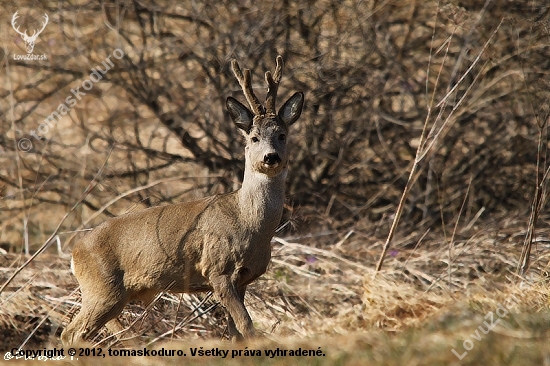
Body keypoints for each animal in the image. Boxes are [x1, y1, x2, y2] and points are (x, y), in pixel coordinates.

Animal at [62, 55, 304, 346]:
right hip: (102, 289)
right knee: (71, 333)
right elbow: (246, 325)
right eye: (253, 137)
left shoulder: (243, 279)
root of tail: (74, 253)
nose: (271, 157)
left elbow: (235, 331)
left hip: (111, 296)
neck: (249, 223)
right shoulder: (218, 270)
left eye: (282, 135)